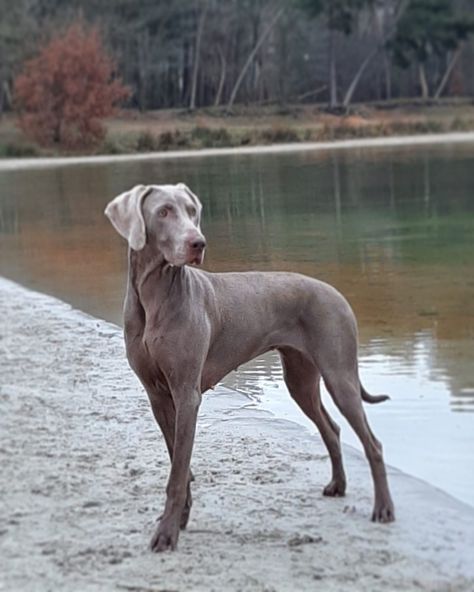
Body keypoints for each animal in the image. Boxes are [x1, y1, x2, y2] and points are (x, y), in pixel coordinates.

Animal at [105, 183, 394, 552]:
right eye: (164, 211)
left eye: (191, 211)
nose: (198, 242)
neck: (154, 296)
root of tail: (337, 293)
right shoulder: (157, 396)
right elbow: (177, 463)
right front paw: (180, 518)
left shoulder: (186, 394)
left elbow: (178, 471)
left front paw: (167, 533)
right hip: (300, 378)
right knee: (331, 428)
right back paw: (338, 486)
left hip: (338, 373)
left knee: (373, 444)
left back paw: (383, 509)